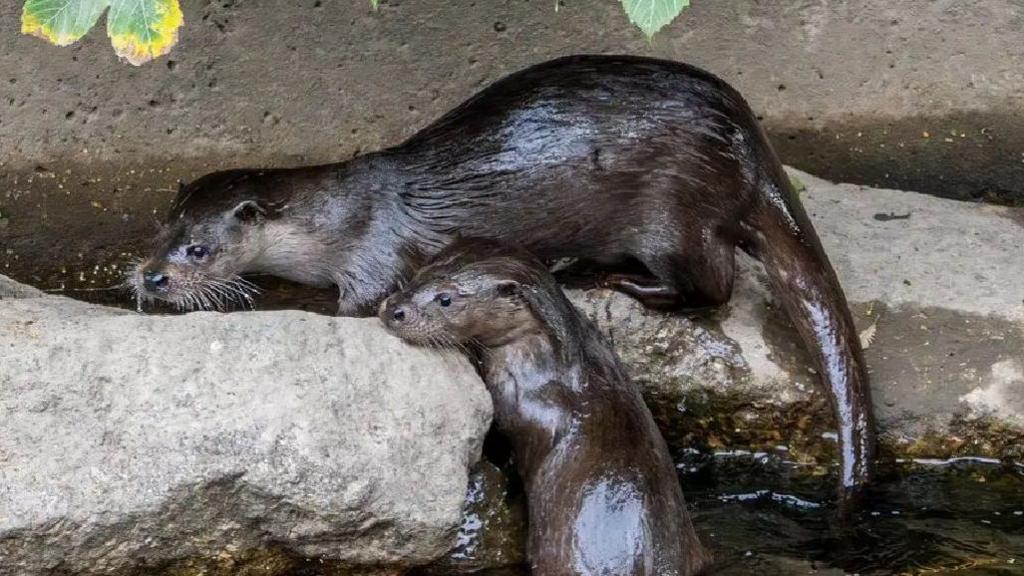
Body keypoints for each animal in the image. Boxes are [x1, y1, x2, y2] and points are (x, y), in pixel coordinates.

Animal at [132, 56, 876, 500]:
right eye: (159, 231)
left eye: (198, 249)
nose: (152, 279)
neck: (339, 217)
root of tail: (746, 138)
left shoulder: (376, 256)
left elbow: (355, 308)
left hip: (674, 213)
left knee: (711, 283)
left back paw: (605, 277)